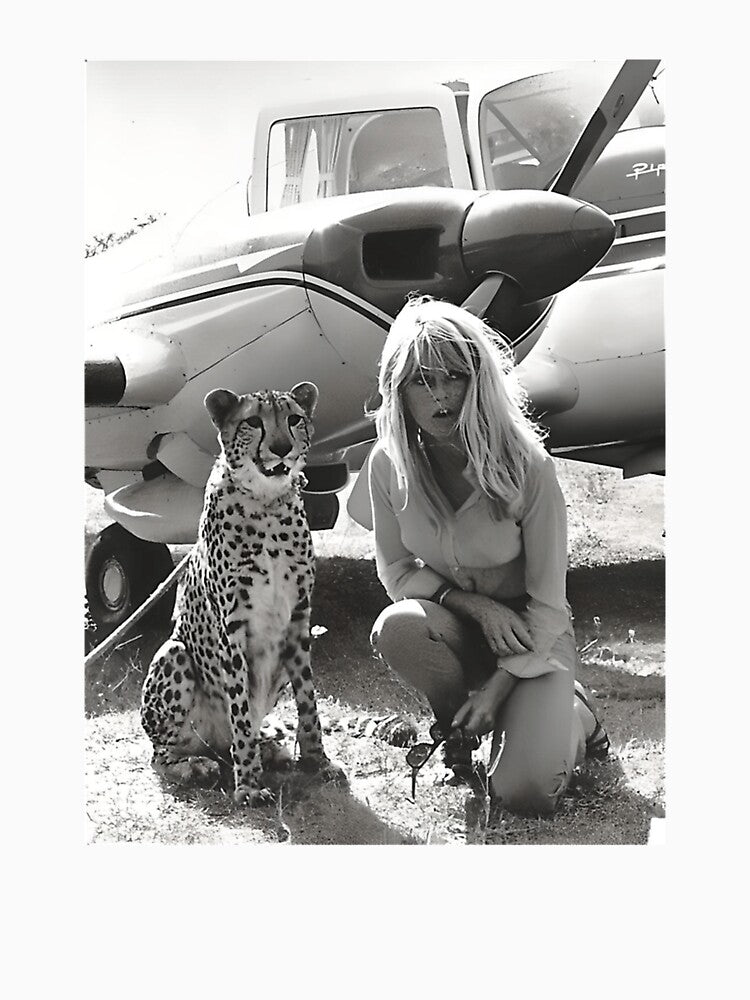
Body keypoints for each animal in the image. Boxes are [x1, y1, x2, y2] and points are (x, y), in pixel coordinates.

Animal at [141, 381, 345, 806]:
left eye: (294, 418)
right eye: (253, 422)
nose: (282, 448)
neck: (267, 504)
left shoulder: (299, 620)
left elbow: (309, 702)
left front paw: (317, 761)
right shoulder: (232, 628)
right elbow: (239, 704)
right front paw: (249, 784)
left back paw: (267, 745)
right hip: (174, 653)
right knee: (162, 754)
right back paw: (195, 765)